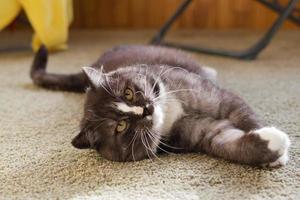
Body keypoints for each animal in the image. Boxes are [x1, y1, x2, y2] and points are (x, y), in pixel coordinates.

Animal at [31, 44, 290, 166]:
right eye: (121, 126)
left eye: (128, 93)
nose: (146, 109)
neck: (170, 111)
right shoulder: (205, 132)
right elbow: (229, 145)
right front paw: (272, 149)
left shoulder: (221, 100)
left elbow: (246, 117)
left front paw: (275, 149)